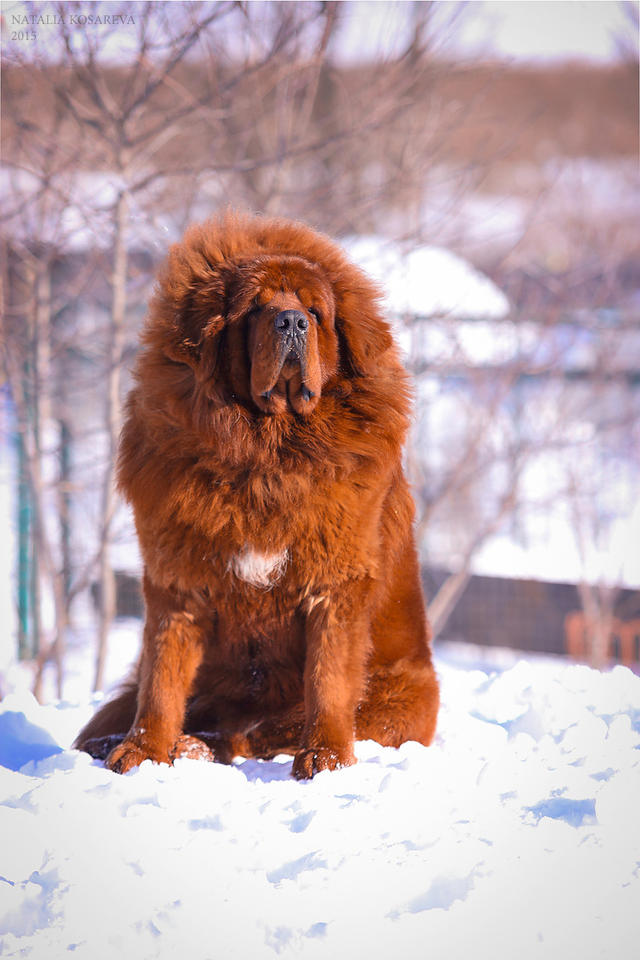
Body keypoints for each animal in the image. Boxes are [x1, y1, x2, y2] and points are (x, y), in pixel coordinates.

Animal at [72, 214, 438, 776]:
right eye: (257, 309)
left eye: (314, 311)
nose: (292, 323)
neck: (267, 454)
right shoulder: (178, 581)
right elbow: (162, 676)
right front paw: (143, 753)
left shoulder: (336, 583)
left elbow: (329, 680)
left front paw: (327, 759)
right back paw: (172, 744)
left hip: (405, 693)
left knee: (257, 734)